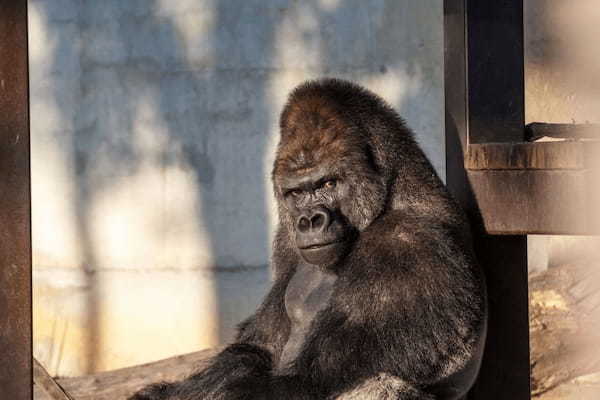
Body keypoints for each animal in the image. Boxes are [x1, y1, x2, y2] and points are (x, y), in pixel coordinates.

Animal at [131, 78, 488, 400]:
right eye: (296, 193)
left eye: (328, 184)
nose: (309, 221)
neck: (393, 196)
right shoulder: (285, 240)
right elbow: (256, 346)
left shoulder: (407, 245)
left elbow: (304, 383)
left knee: (378, 384)